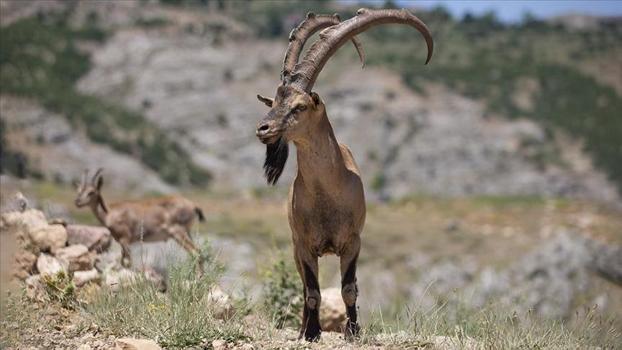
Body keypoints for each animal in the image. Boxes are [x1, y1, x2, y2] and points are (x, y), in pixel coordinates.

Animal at [73, 170, 205, 274]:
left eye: (91, 192)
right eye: (78, 190)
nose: (77, 202)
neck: (110, 213)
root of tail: (193, 206)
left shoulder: (125, 239)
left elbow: (127, 262)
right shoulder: (123, 242)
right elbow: (124, 261)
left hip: (178, 232)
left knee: (196, 251)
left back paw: (198, 277)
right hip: (186, 232)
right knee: (196, 252)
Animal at [255, 8, 434, 342]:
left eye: (299, 106)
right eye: (274, 101)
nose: (263, 129)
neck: (328, 193)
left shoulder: (352, 243)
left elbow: (349, 289)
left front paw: (353, 331)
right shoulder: (304, 245)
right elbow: (312, 292)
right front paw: (312, 333)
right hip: (296, 249)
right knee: (304, 288)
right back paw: (302, 328)